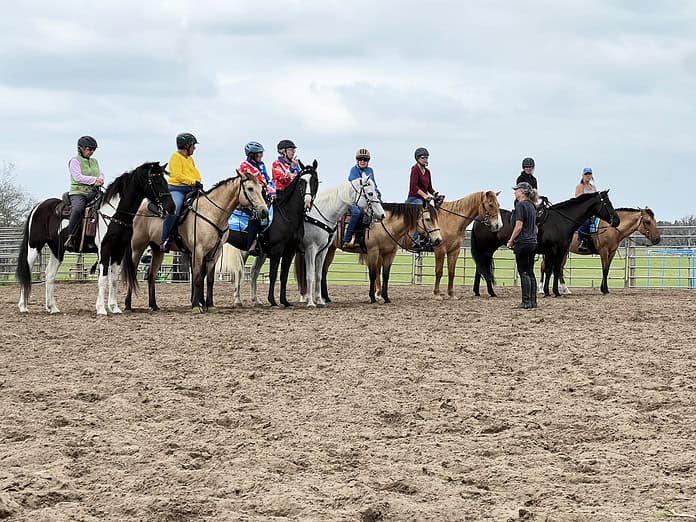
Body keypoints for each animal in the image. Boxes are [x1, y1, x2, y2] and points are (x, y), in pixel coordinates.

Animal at [16, 160, 175, 312]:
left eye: (164, 180)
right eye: (157, 181)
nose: (171, 207)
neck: (113, 215)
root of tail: (38, 206)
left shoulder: (118, 250)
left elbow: (114, 279)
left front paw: (115, 308)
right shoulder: (104, 249)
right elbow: (103, 279)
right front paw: (101, 309)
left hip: (57, 249)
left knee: (50, 274)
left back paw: (52, 307)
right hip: (34, 246)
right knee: (27, 271)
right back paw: (23, 306)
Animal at [123, 169, 268, 310]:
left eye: (261, 189)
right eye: (250, 188)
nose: (264, 211)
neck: (212, 213)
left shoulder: (214, 253)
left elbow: (209, 279)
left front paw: (209, 305)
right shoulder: (198, 251)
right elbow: (198, 278)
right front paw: (196, 305)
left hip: (158, 250)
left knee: (151, 275)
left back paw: (153, 305)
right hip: (137, 248)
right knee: (132, 273)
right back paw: (128, 305)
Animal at [226, 158, 320, 304]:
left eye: (314, 180)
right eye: (302, 181)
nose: (307, 201)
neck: (287, 215)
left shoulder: (289, 251)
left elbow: (283, 275)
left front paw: (284, 301)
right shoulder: (277, 250)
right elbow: (273, 274)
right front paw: (272, 300)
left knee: (252, 272)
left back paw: (255, 300)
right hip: (241, 251)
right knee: (238, 272)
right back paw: (237, 300)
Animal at [296, 200, 444, 304]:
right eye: (428, 219)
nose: (438, 240)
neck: (385, 225)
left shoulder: (389, 254)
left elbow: (385, 275)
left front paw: (386, 297)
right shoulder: (373, 252)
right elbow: (373, 275)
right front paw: (372, 297)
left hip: (330, 250)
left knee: (324, 271)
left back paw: (326, 297)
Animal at [300, 175, 386, 306]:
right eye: (370, 193)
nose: (382, 215)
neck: (320, 214)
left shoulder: (322, 251)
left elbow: (318, 274)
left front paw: (319, 300)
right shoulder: (311, 249)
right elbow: (310, 275)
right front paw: (310, 302)